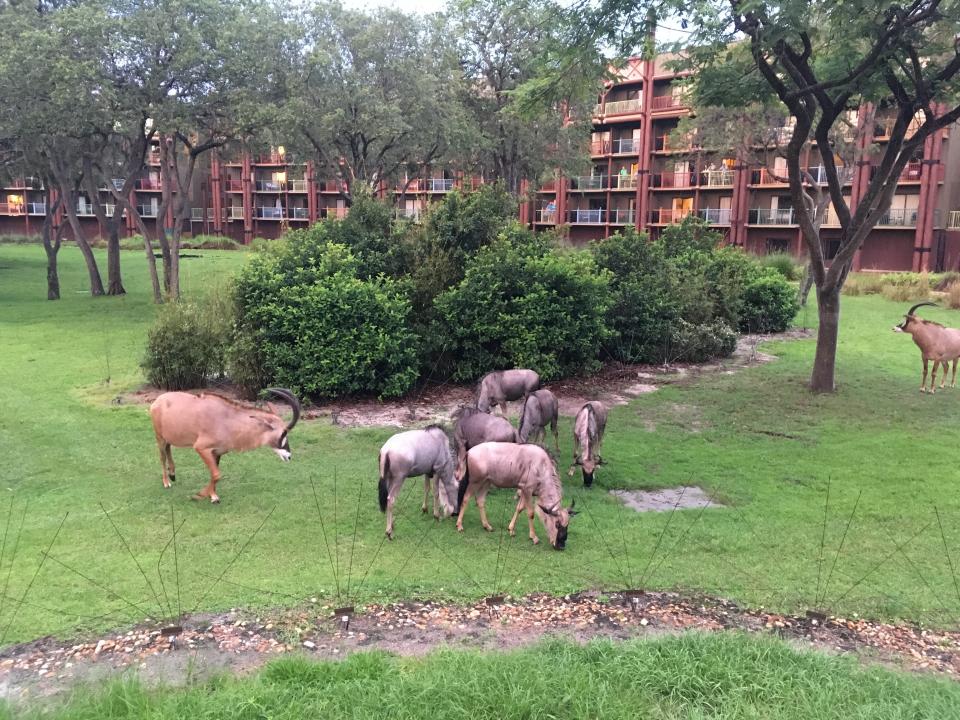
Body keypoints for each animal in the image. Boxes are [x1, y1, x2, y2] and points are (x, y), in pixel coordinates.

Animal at [149, 388, 300, 506]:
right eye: (283, 433)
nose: (288, 456)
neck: (227, 419)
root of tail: (158, 401)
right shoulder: (201, 448)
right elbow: (217, 474)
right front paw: (199, 495)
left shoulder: (217, 452)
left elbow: (214, 474)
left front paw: (213, 496)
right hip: (159, 438)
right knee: (162, 456)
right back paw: (166, 482)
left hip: (168, 438)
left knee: (168, 449)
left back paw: (172, 474)